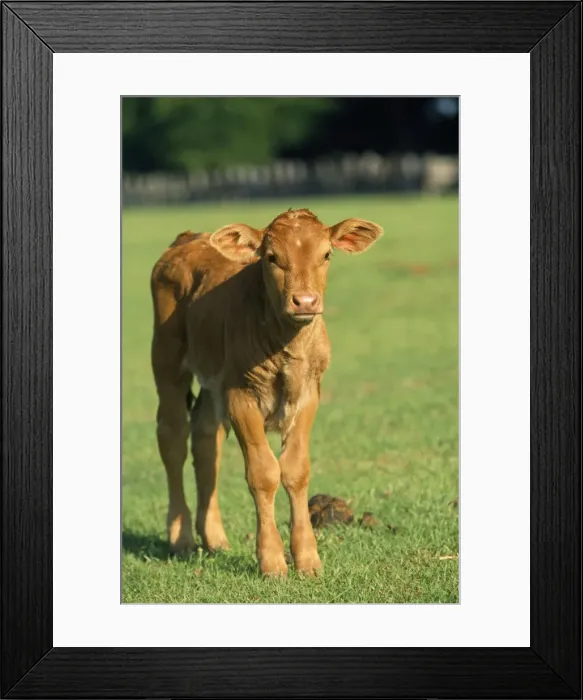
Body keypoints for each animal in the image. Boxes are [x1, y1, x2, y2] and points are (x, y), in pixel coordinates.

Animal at [151, 208, 383, 576]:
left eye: (326, 254)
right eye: (272, 258)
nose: (305, 301)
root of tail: (188, 238)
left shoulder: (308, 394)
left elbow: (296, 470)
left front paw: (308, 559)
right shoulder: (240, 396)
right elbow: (263, 472)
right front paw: (272, 561)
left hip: (212, 381)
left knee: (206, 440)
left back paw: (214, 538)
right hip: (167, 360)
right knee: (173, 437)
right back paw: (182, 537)